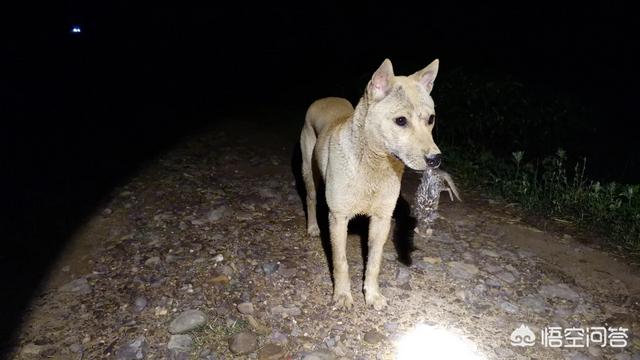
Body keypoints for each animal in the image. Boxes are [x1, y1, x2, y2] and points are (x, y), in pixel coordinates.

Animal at [298, 59, 440, 310]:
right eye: (401, 121)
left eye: (430, 119)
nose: (436, 159)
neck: (374, 166)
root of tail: (326, 98)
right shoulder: (339, 219)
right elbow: (341, 262)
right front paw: (342, 295)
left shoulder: (381, 220)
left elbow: (374, 263)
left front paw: (372, 295)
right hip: (309, 174)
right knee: (311, 199)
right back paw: (313, 227)